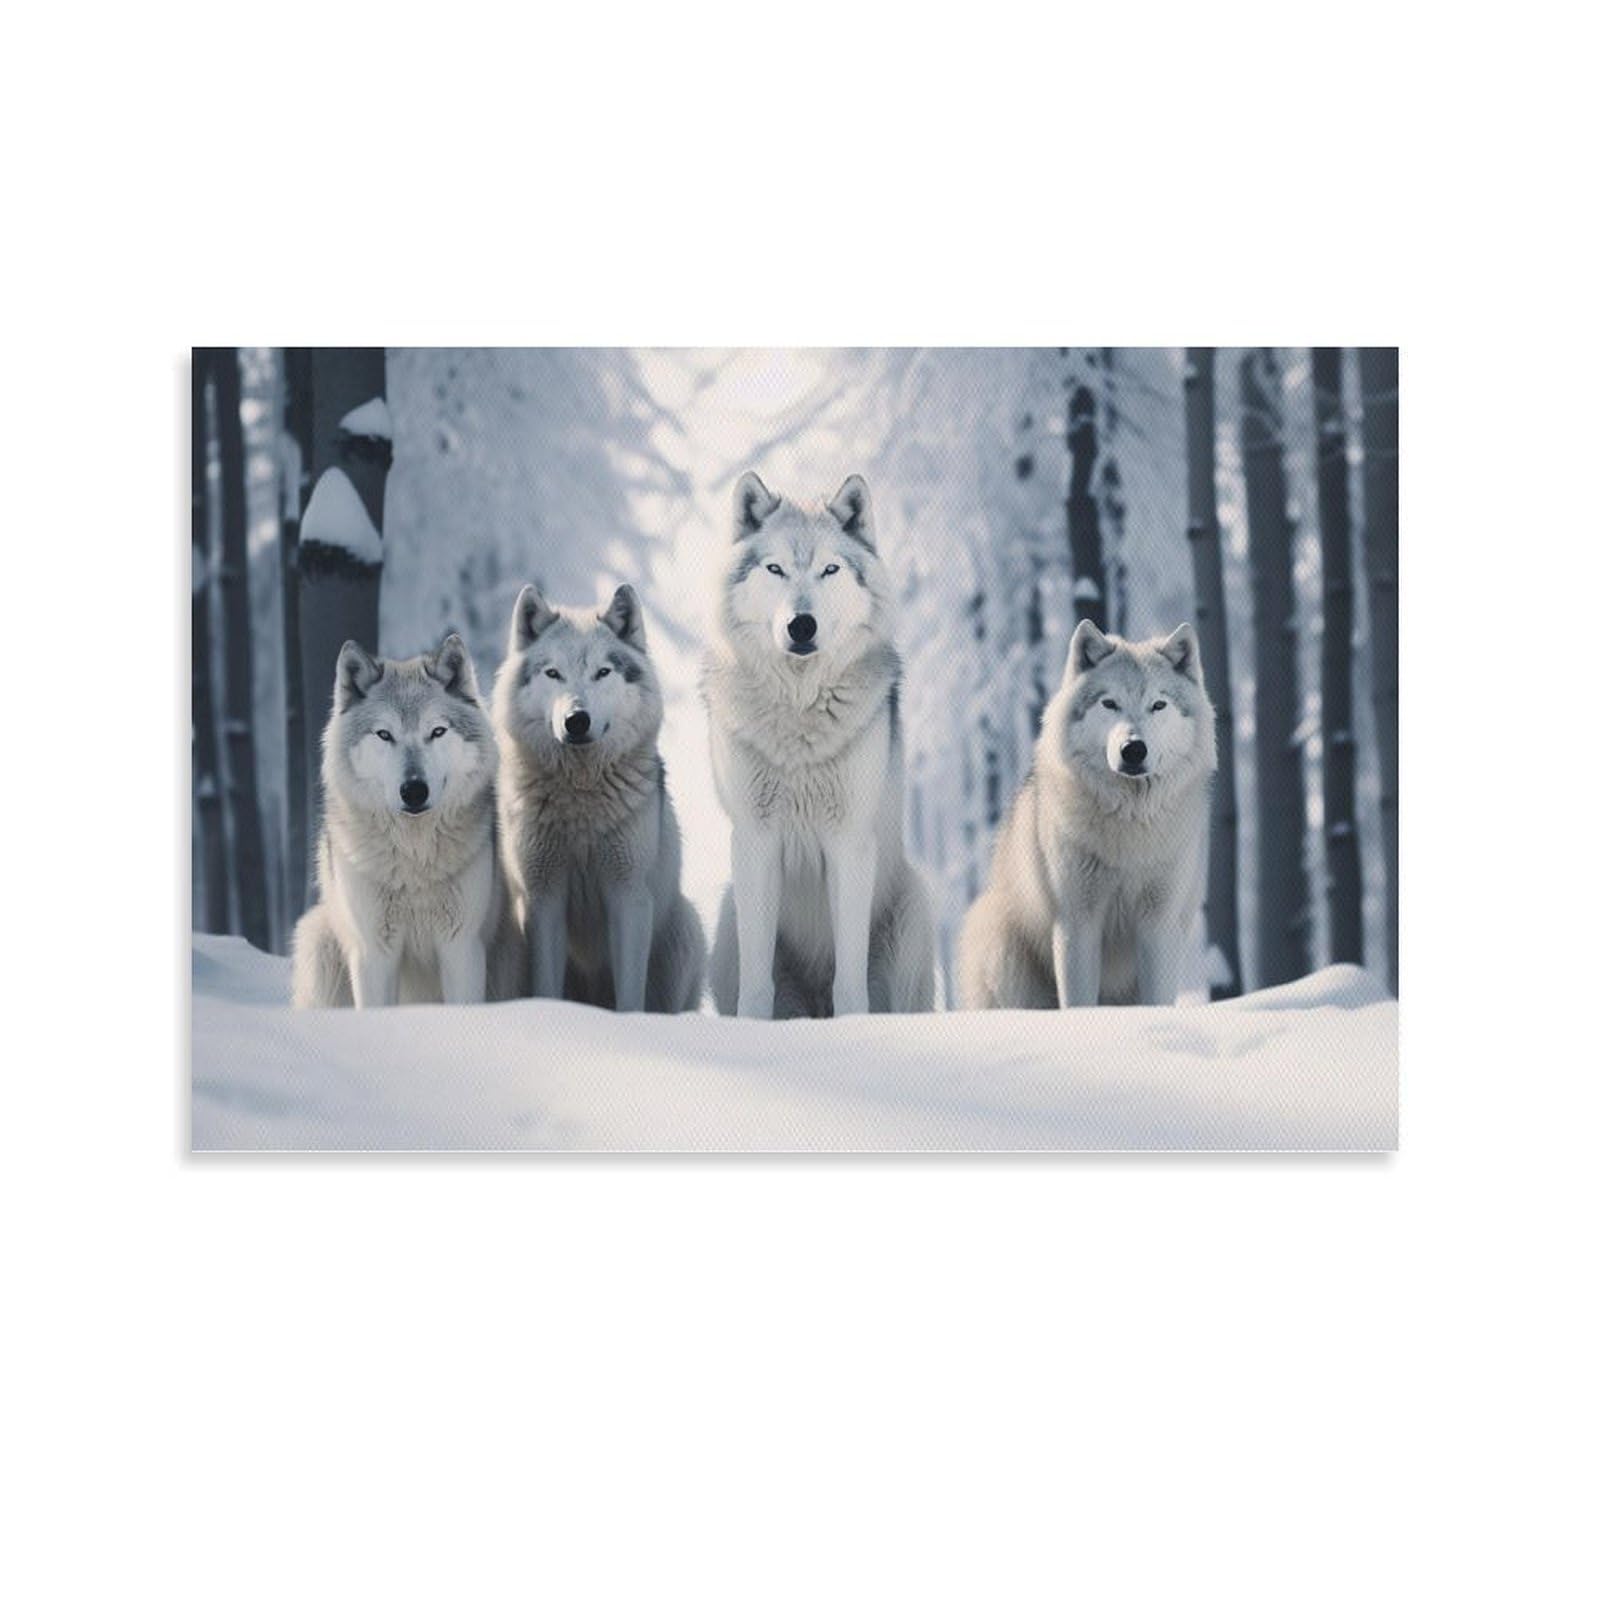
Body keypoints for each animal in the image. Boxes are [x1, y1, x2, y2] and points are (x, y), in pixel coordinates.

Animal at [291, 635, 522, 1008]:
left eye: (437, 731)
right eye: (384, 735)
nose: (414, 790)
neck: (415, 859)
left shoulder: (461, 947)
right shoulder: (373, 952)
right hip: (320, 941)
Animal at [493, 582, 705, 1012]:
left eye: (602, 672)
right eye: (553, 673)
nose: (577, 720)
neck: (581, 796)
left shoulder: (629, 896)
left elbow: (630, 996)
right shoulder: (543, 898)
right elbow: (546, 983)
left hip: (686, 930)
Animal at [703, 471, 935, 1019]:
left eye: (830, 569)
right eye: (776, 569)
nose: (801, 624)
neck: (799, 712)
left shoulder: (848, 843)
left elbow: (849, 983)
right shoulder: (756, 841)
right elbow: (756, 985)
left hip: (916, 911)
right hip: (727, 917)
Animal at [959, 619, 1216, 1008]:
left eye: (1158, 705)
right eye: (1109, 703)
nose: (1133, 749)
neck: (1128, 827)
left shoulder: (1158, 925)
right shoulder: (1077, 923)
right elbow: (1078, 1001)